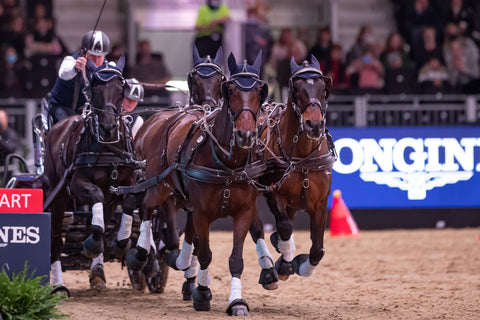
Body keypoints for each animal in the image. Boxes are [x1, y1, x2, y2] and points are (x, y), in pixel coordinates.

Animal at [43, 56, 139, 292]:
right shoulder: (78, 183)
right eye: (95, 87)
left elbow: (129, 203)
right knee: (56, 240)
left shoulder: (125, 183)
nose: (108, 125)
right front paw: (92, 244)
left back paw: (97, 270)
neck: (108, 146)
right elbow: (95, 196)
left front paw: (120, 243)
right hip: (58, 194)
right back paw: (59, 285)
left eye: (121, 88)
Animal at [127, 52, 278, 316]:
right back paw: (143, 254)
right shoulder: (200, 212)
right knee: (146, 207)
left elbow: (235, 259)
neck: (228, 164)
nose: (246, 135)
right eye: (230, 90)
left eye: (260, 90)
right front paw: (203, 293)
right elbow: (204, 253)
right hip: (159, 186)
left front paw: (237, 302)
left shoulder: (243, 211)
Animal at [256, 56, 336, 282]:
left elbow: (317, 249)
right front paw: (284, 264)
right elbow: (285, 227)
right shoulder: (273, 193)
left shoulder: (320, 203)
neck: (302, 157)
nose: (314, 125)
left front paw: (301, 266)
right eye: (297, 88)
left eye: (323, 88)